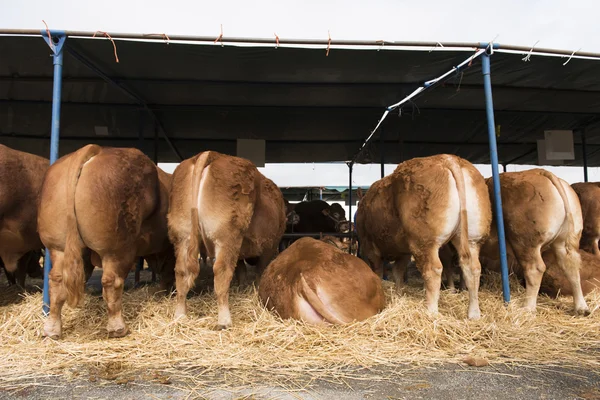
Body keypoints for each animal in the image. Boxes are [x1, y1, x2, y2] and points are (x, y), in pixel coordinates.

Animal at [168, 150, 288, 328]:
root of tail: (209, 154)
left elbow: (241, 269)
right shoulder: (270, 245)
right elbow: (260, 270)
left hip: (183, 235)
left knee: (181, 272)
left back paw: (180, 316)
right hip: (227, 236)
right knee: (221, 272)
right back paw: (224, 320)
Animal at [358, 155, 490, 320]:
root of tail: (448, 159)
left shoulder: (370, 246)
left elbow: (378, 271)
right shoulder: (403, 251)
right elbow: (398, 272)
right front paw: (399, 295)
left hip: (425, 241)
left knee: (433, 270)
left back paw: (431, 312)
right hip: (473, 238)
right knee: (473, 268)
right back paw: (474, 313)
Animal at [478, 167, 592, 314]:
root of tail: (539, 171)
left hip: (524, 241)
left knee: (534, 269)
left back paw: (528, 308)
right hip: (564, 240)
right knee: (571, 265)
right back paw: (581, 307)